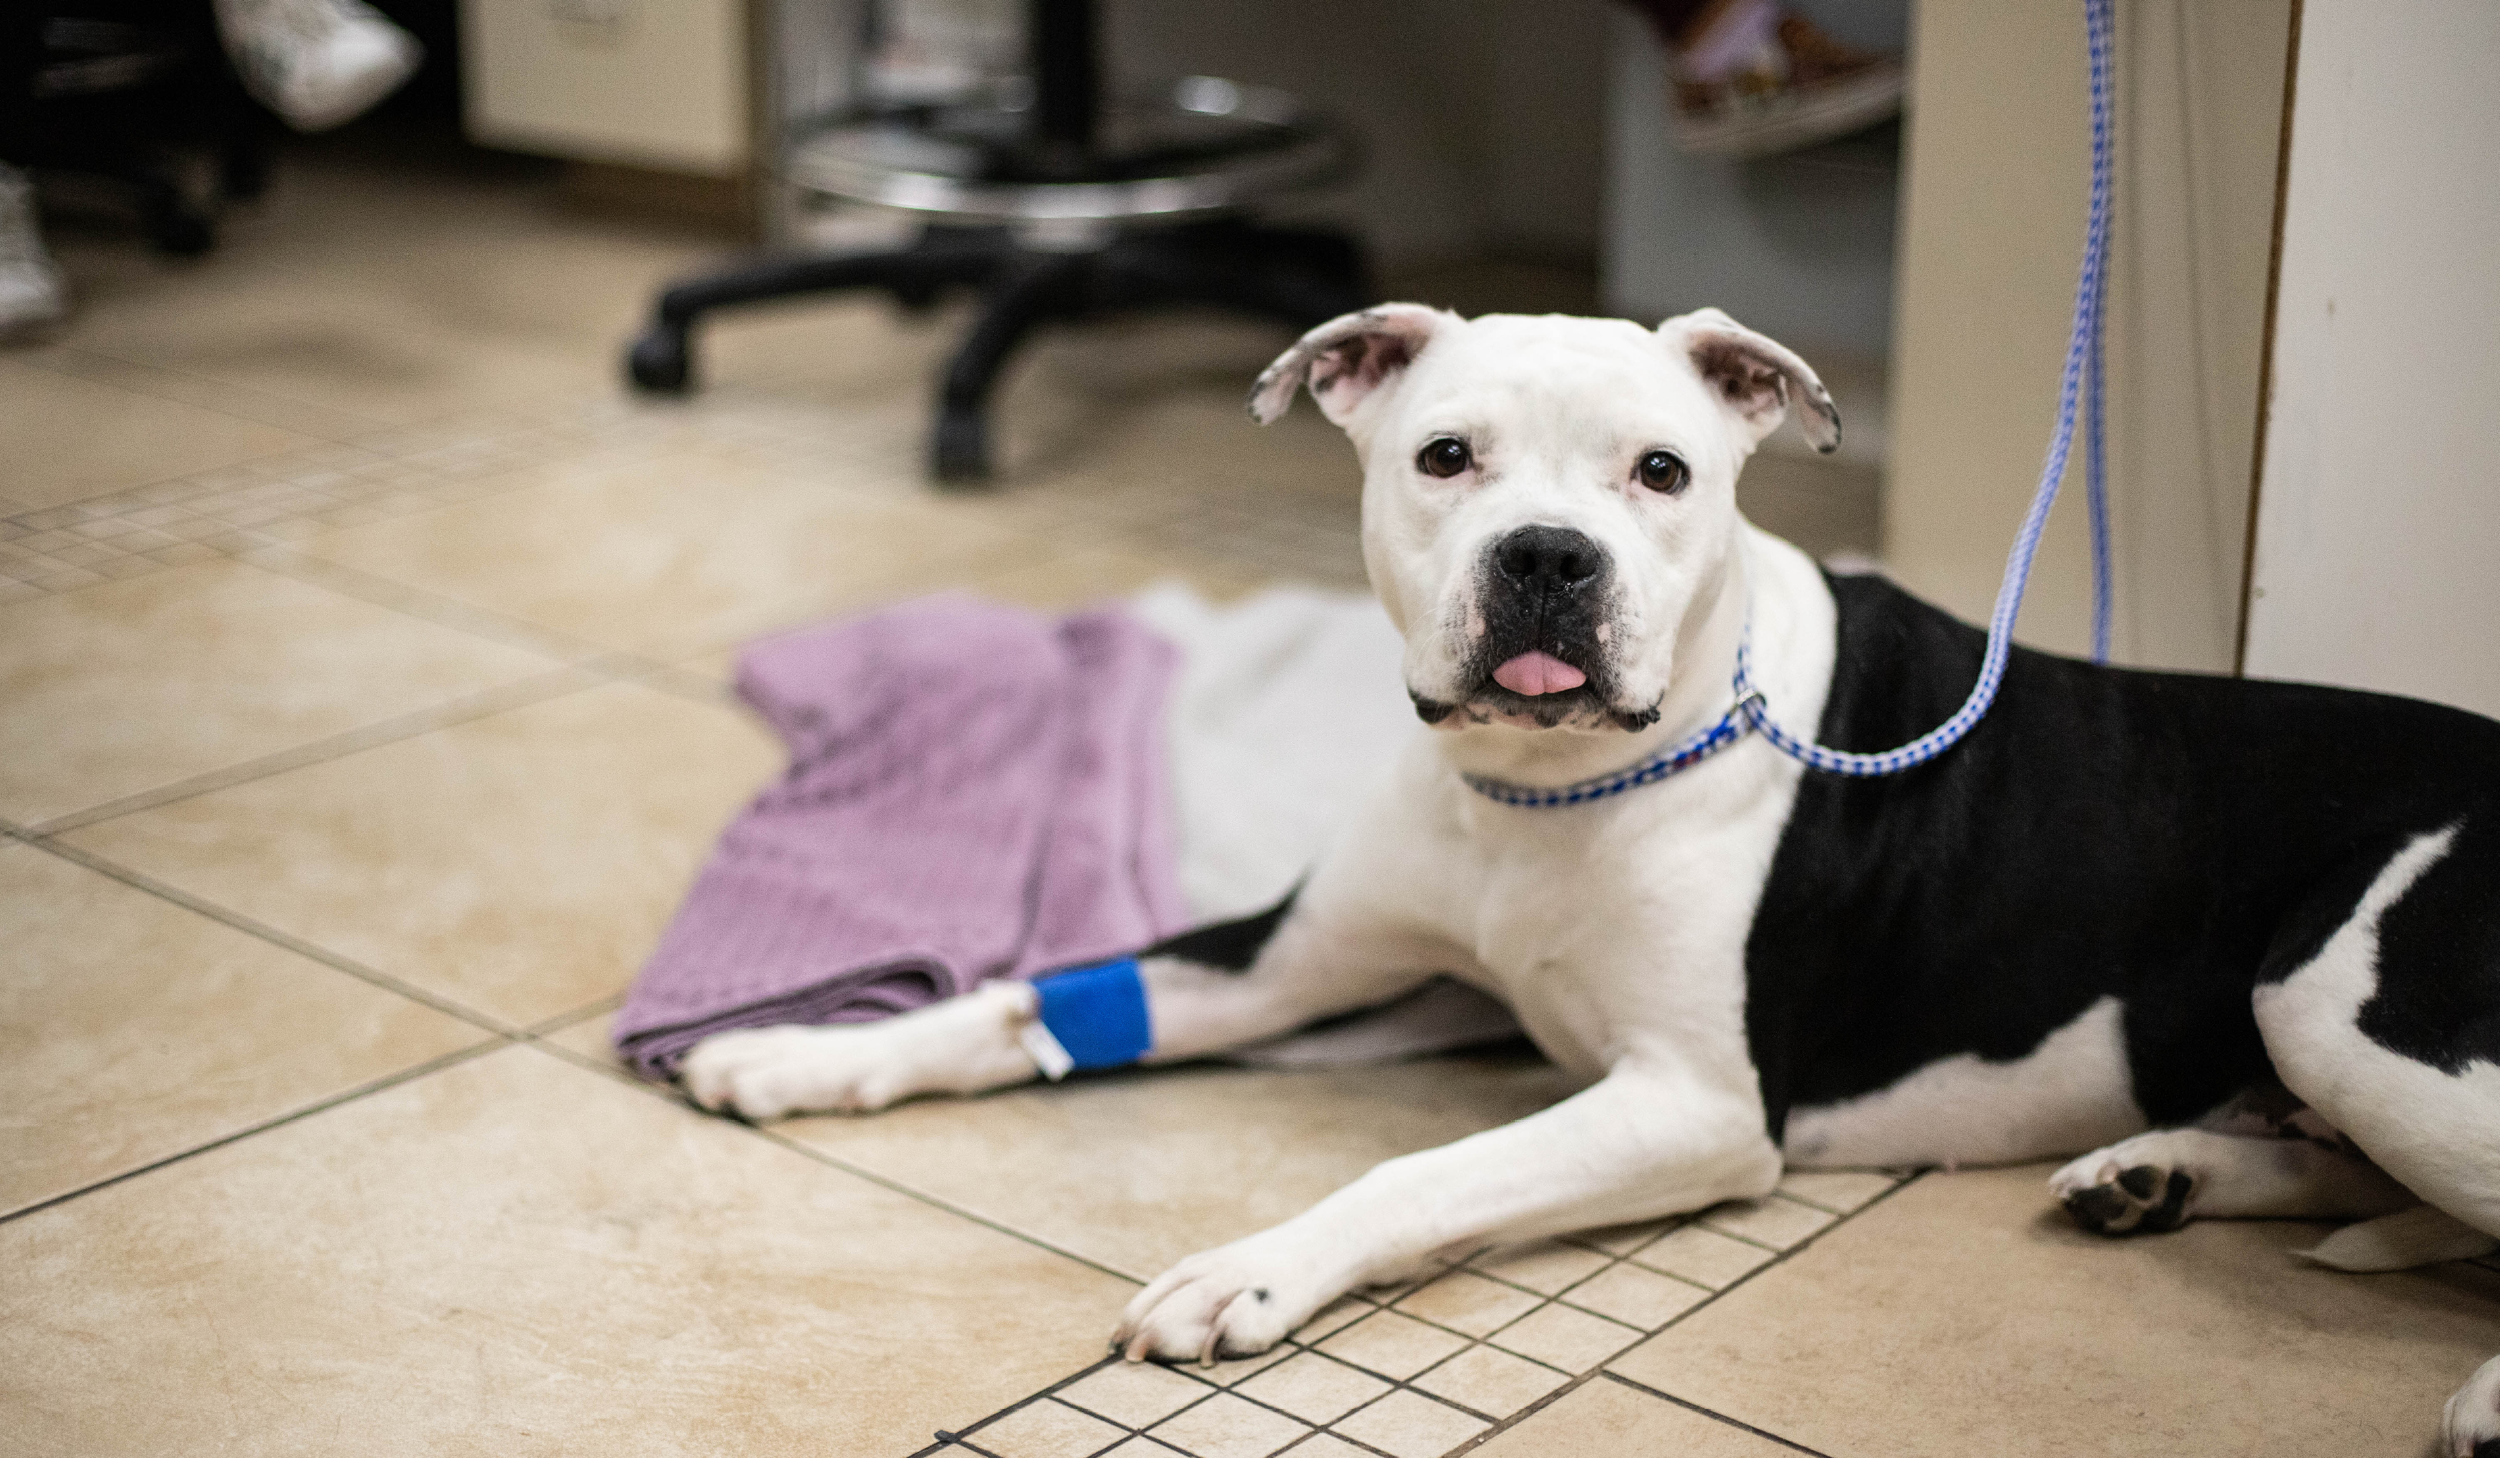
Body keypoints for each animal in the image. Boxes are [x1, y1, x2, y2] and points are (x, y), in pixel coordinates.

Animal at [680, 305, 2500, 1450]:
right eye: (1445, 457)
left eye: (1662, 471)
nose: (1548, 558)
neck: (1546, 790)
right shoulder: (1314, 966)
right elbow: (1025, 1002)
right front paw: (802, 1048)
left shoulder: (1695, 1103)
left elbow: (1427, 1171)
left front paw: (1244, 1267)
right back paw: (2155, 1174)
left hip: (2335, 989)